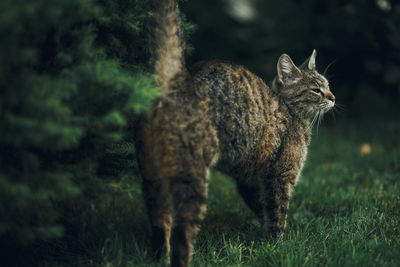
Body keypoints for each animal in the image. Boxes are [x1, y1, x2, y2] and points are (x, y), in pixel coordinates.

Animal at [136, 1, 336, 266]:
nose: (333, 97)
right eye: (316, 89)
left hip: (153, 180)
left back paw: (158, 257)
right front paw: (281, 247)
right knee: (182, 237)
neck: (291, 111)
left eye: (328, 85)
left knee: (160, 226)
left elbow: (263, 208)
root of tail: (176, 79)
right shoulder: (280, 175)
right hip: (191, 179)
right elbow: (278, 214)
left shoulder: (251, 179)